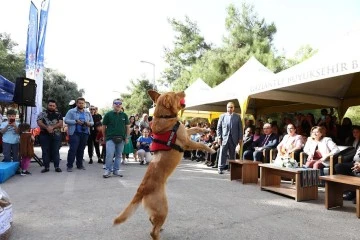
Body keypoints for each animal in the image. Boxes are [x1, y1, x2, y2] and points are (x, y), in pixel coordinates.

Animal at [114, 90, 215, 240]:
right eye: (176, 94)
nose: (184, 91)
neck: (165, 117)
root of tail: (141, 189)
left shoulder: (185, 131)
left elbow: (194, 128)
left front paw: (206, 131)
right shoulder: (186, 142)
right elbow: (201, 145)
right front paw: (211, 149)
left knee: (152, 221)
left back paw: (159, 227)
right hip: (163, 208)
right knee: (153, 231)